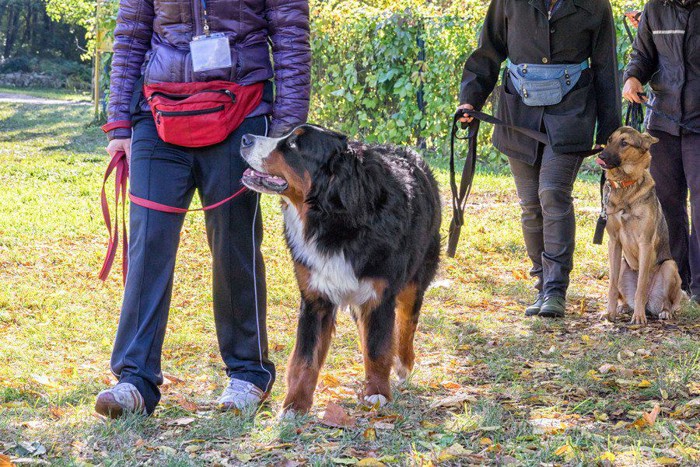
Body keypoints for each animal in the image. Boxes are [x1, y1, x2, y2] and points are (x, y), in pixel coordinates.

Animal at [238, 125, 440, 416]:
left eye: (294, 145)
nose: (244, 138)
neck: (335, 221)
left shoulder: (379, 295)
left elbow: (378, 347)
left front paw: (377, 392)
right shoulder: (315, 298)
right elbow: (305, 357)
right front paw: (295, 404)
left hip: (415, 277)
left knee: (406, 322)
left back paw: (403, 364)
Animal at [596, 127, 684, 326]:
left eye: (624, 143)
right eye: (609, 139)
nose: (601, 156)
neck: (625, 186)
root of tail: (650, 305)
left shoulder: (645, 244)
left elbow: (641, 287)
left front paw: (638, 317)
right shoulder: (614, 242)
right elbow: (612, 286)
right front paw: (610, 313)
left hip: (670, 266)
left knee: (667, 302)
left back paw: (662, 312)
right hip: (623, 264)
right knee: (623, 293)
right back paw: (624, 307)